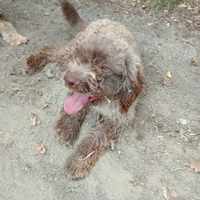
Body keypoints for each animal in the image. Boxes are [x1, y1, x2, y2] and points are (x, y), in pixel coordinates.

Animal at [26, 0, 145, 179]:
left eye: (105, 68)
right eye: (82, 58)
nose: (69, 80)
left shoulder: (120, 118)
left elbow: (96, 137)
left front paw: (78, 161)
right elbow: (73, 110)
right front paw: (66, 127)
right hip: (68, 56)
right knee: (50, 49)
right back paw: (34, 61)